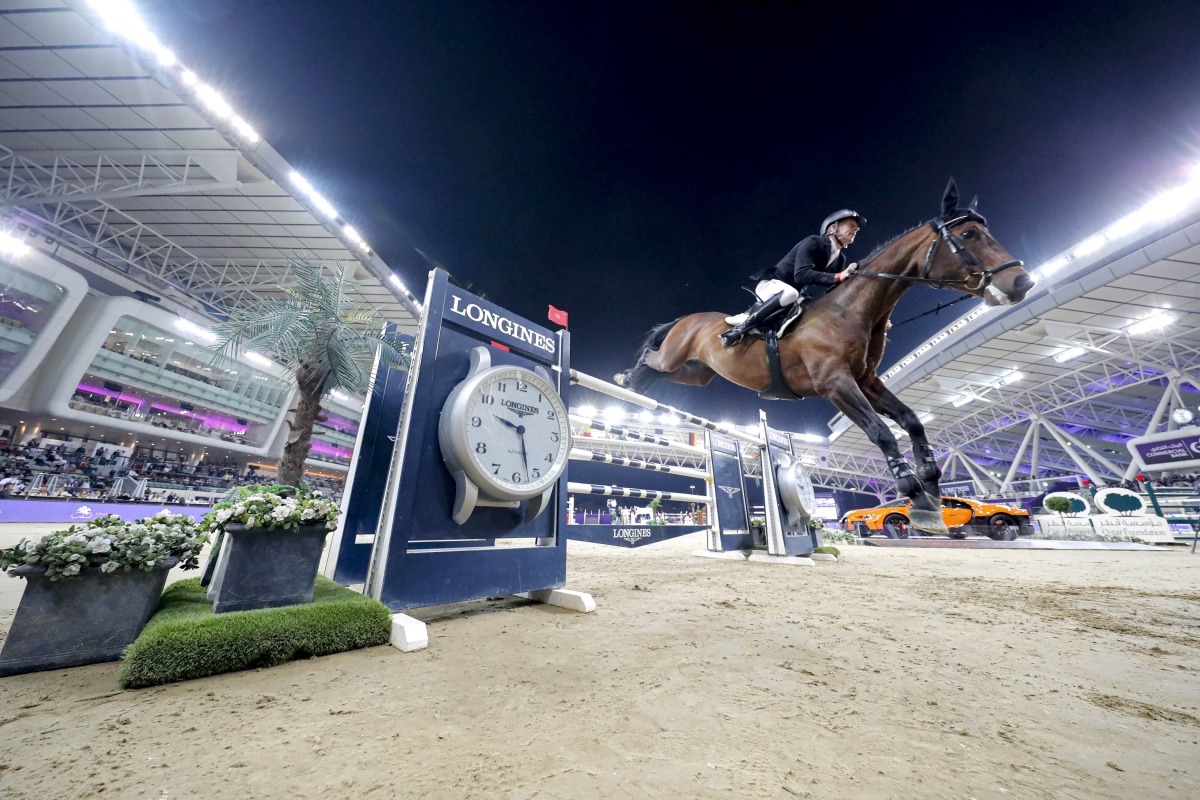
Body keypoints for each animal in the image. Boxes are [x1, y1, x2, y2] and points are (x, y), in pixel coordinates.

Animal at [614, 179, 1036, 532]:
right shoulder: (836, 384)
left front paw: (931, 487)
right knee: (650, 360)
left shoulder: (866, 380)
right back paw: (626, 379)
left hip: (696, 372)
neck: (852, 311)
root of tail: (690, 318)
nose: (1022, 282)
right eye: (968, 234)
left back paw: (638, 386)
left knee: (662, 373)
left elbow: (912, 421)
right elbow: (882, 432)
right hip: (676, 356)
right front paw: (915, 494)